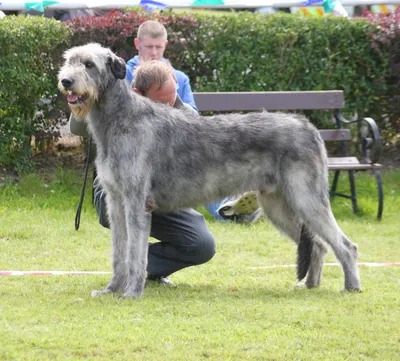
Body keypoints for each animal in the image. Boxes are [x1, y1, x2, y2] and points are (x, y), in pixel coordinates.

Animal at [57, 44, 360, 298]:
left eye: (89, 64)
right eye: (69, 60)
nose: (66, 81)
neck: (120, 118)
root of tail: (308, 126)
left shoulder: (136, 202)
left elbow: (135, 254)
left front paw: (131, 292)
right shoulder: (116, 202)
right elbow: (119, 252)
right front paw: (111, 289)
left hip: (306, 197)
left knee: (345, 245)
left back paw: (351, 286)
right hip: (277, 204)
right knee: (319, 244)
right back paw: (311, 285)